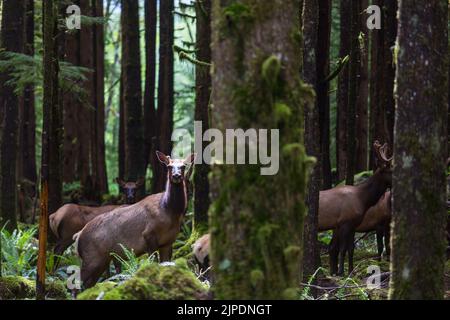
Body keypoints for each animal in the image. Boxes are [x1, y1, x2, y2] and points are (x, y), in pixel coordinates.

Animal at [74, 151, 194, 288]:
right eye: (169, 166)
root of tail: (78, 236)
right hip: (91, 257)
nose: (176, 176)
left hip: (101, 259)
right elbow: (153, 263)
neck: (169, 212)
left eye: (183, 166)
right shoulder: (148, 235)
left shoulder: (168, 242)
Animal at [318, 141, 392, 276]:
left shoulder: (353, 224)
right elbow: (343, 249)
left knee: (332, 247)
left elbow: (351, 248)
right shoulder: (345, 222)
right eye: (391, 170)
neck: (362, 199)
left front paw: (351, 271)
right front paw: (341, 272)